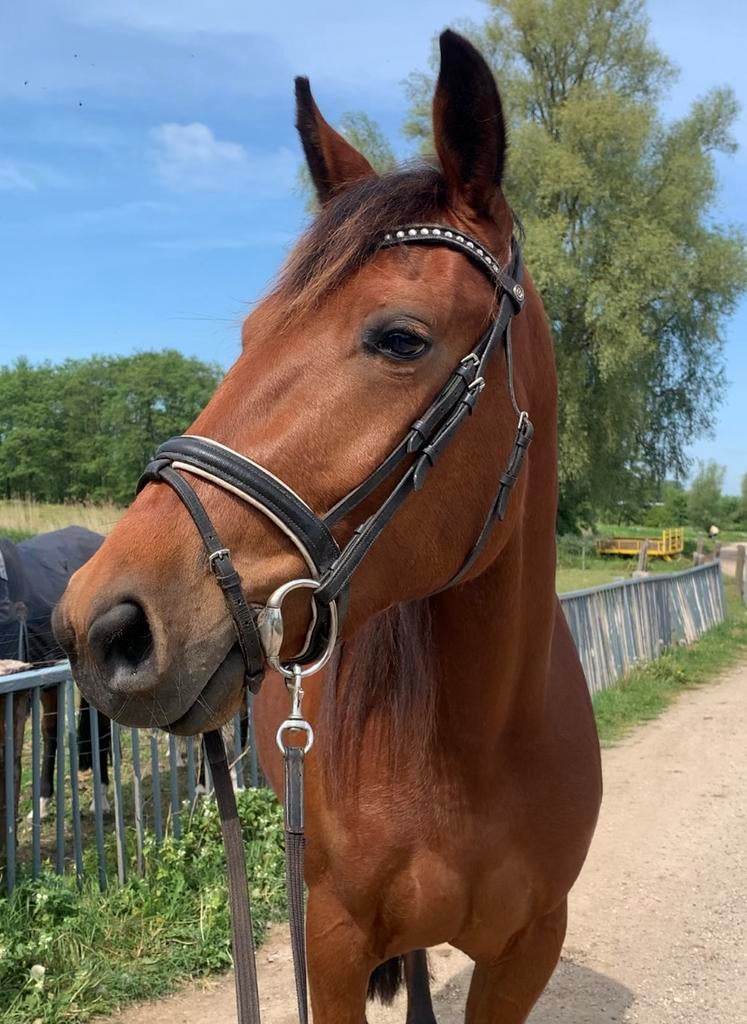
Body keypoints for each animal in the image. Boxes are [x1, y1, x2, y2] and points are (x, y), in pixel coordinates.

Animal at [54, 31, 602, 1023]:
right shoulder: (334, 946)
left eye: (400, 339)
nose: (101, 625)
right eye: (249, 333)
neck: (475, 748)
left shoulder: (528, 953)